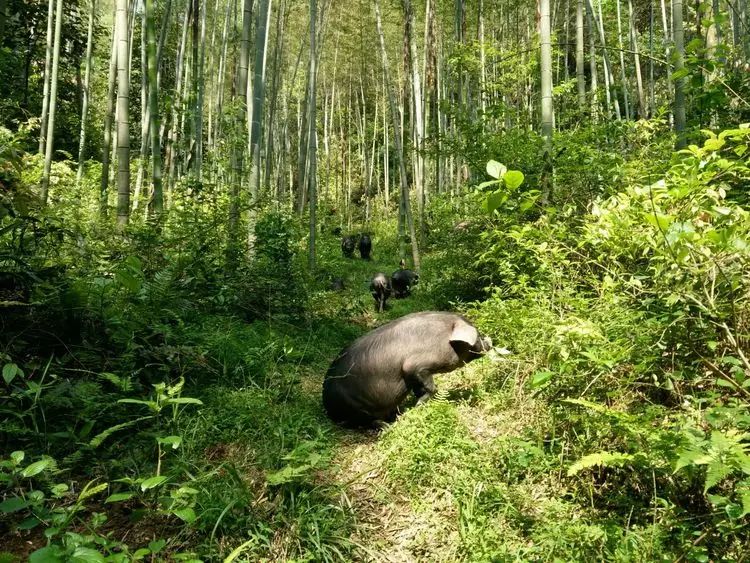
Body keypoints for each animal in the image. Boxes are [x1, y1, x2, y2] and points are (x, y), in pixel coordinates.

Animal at [324, 312, 494, 428]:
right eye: (478, 335)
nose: (490, 340)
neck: (445, 340)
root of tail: (328, 407)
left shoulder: (413, 376)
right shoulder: (414, 366)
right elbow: (430, 386)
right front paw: (419, 405)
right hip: (355, 406)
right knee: (369, 421)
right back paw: (389, 426)